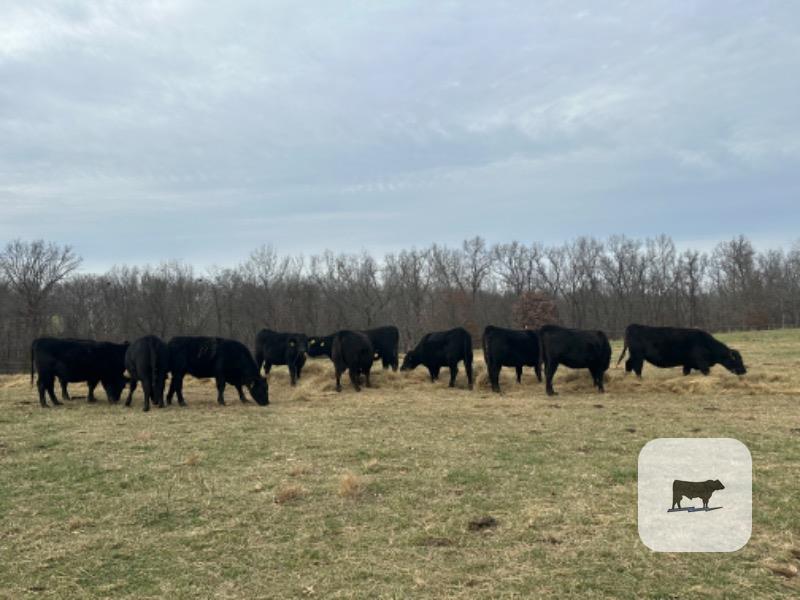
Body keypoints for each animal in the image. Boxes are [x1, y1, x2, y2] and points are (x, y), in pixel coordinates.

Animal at [617, 324, 746, 377]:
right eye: (737, 360)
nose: (744, 371)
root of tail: (634, 325)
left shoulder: (687, 364)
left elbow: (686, 372)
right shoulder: (702, 363)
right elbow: (706, 372)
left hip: (633, 355)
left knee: (628, 364)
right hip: (638, 356)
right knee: (637, 368)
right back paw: (640, 379)